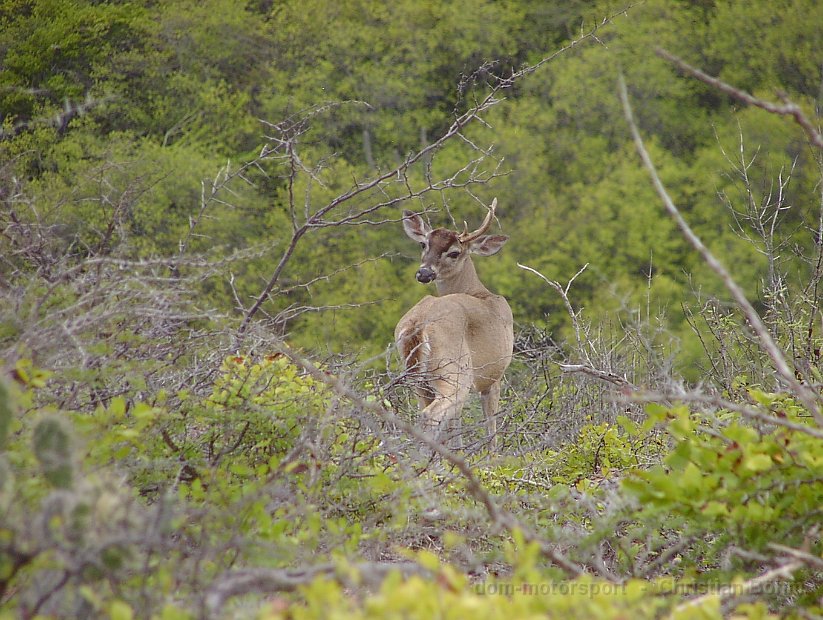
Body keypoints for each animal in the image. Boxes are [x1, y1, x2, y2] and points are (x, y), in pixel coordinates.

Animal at [396, 200, 512, 450]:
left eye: (454, 252)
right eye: (423, 244)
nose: (424, 273)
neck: (479, 291)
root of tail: (418, 323)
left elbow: (456, 426)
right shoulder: (494, 376)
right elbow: (491, 426)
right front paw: (493, 455)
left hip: (418, 380)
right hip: (453, 372)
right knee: (431, 415)